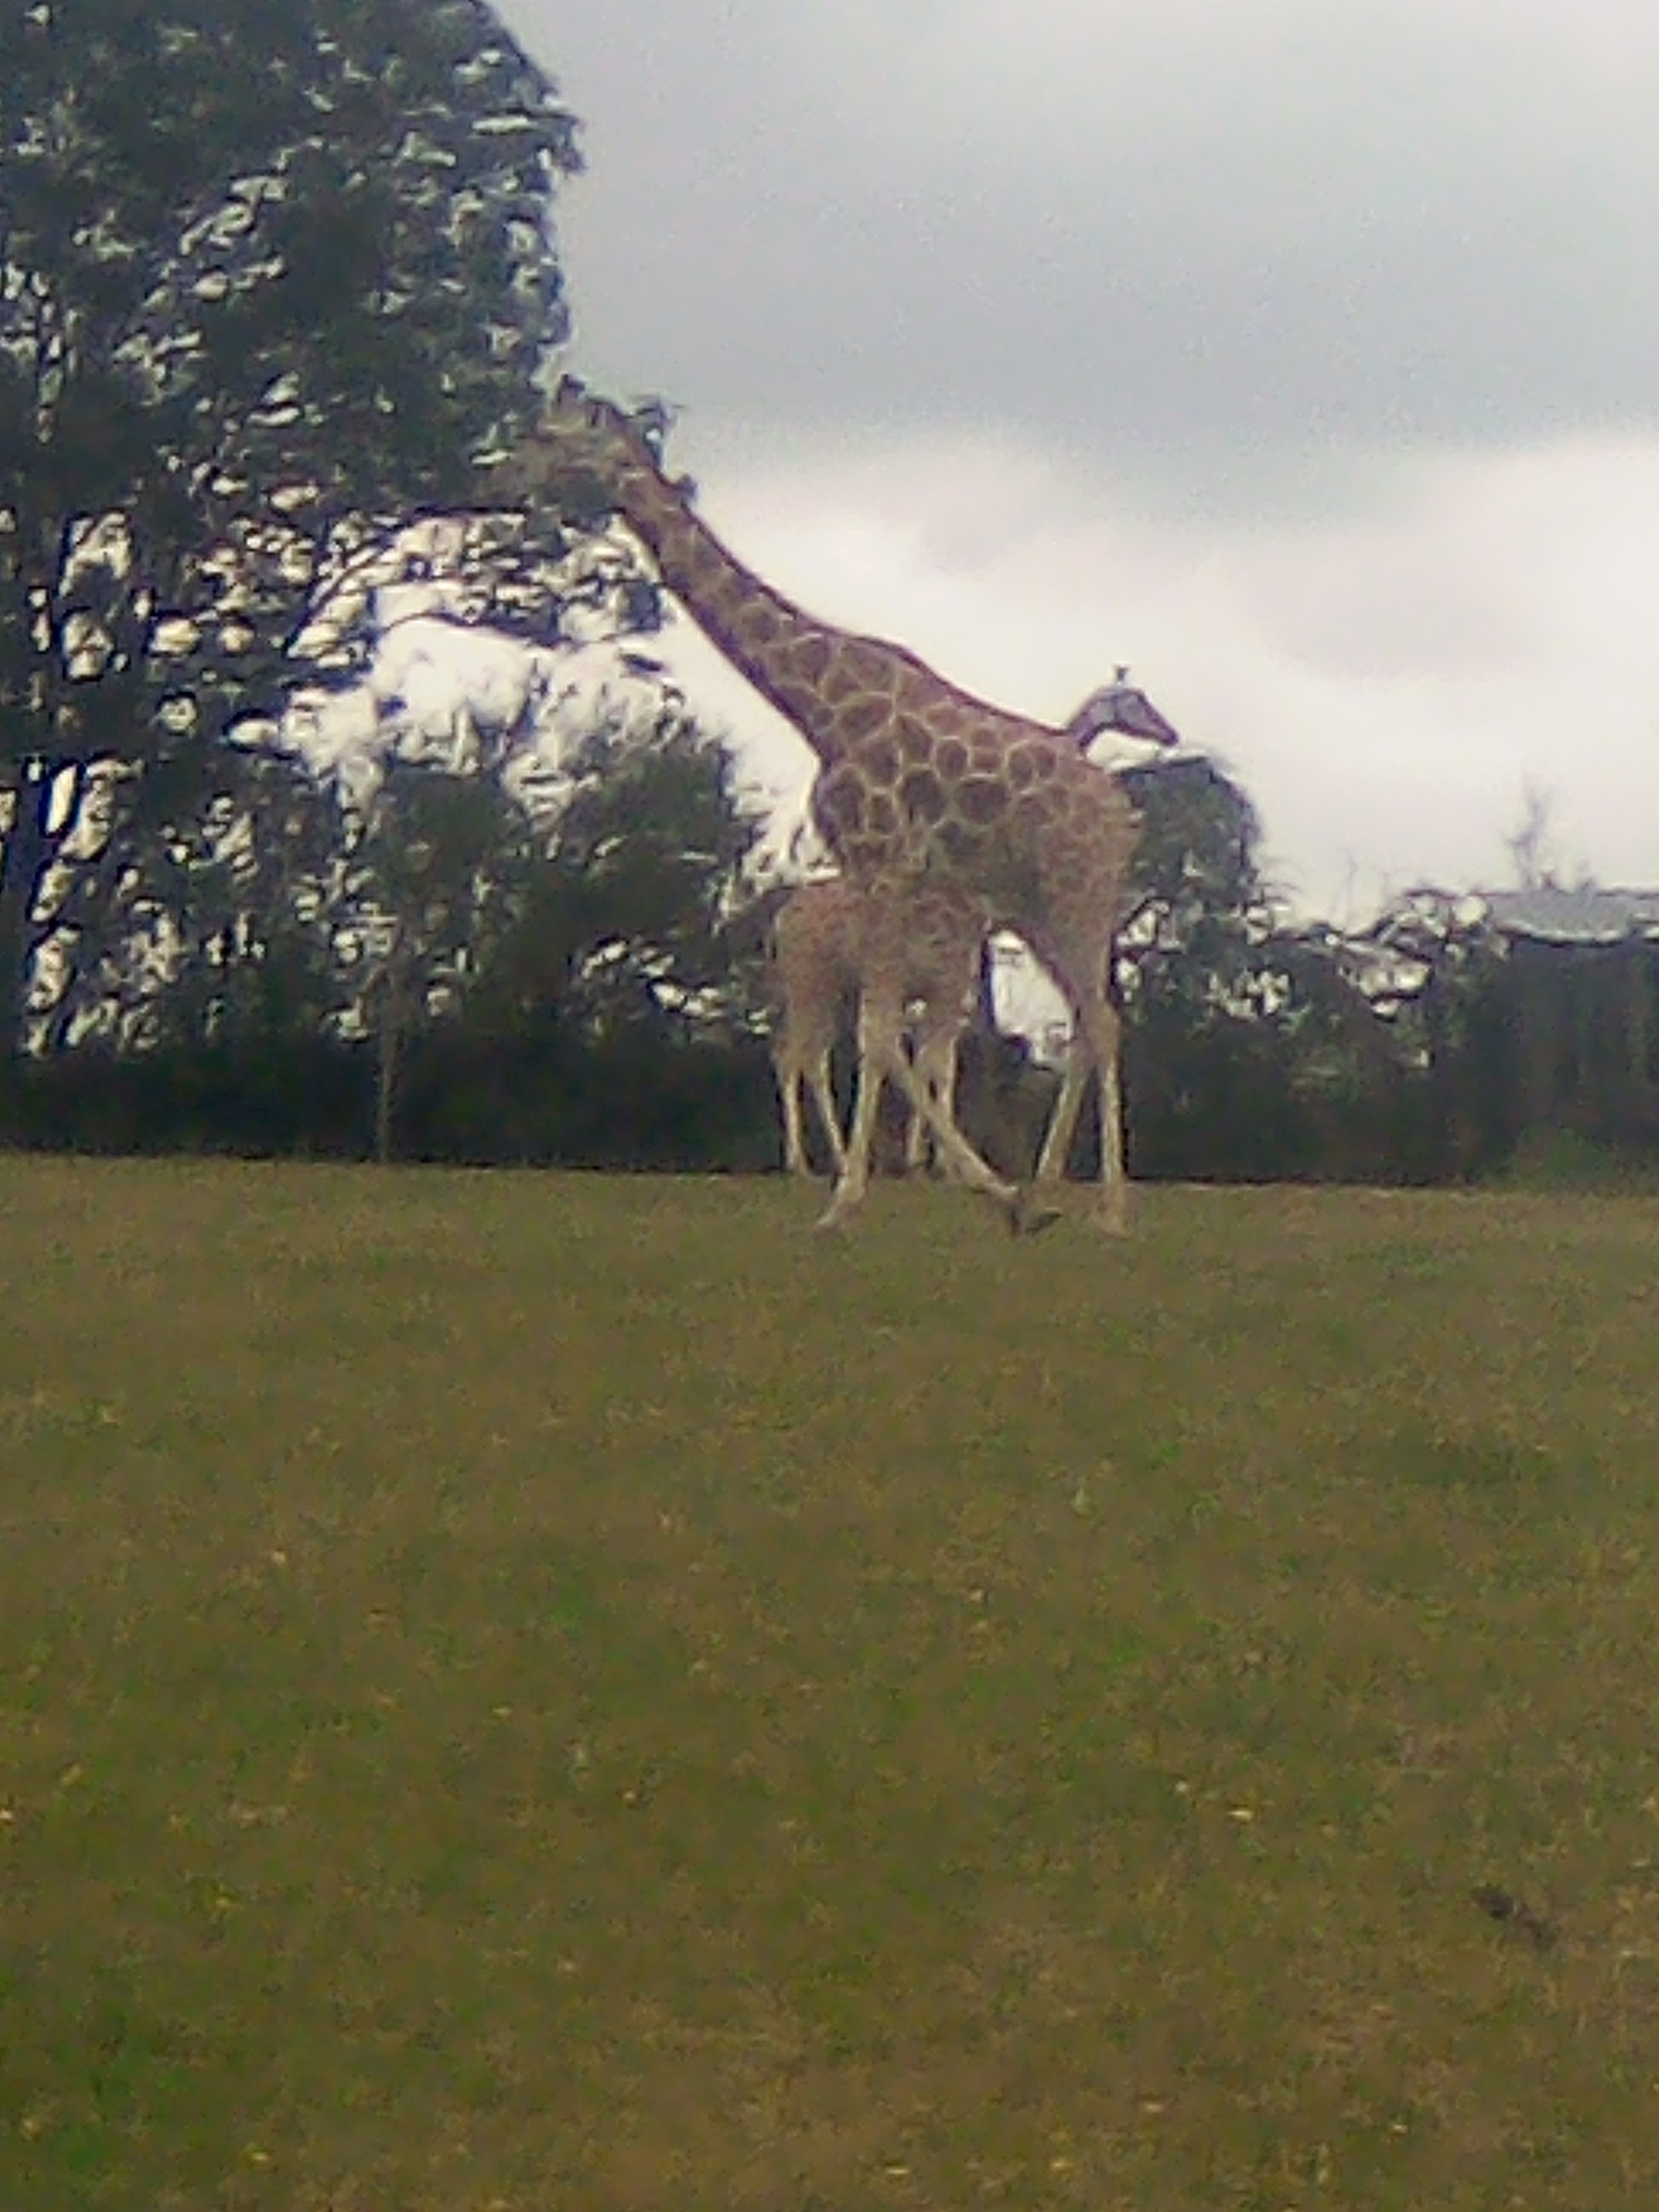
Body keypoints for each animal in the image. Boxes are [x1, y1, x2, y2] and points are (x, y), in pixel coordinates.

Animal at [490, 381, 1182, 1233]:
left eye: (553, 441)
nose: (500, 475)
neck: (817, 710)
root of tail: (1121, 813)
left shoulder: (884, 861)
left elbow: (884, 1037)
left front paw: (855, 1199)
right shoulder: (872, 868)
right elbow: (884, 1039)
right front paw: (973, 1187)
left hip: (1078, 892)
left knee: (1102, 1021)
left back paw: (1109, 1211)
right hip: (1034, 905)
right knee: (1088, 1020)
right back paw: (1045, 1195)